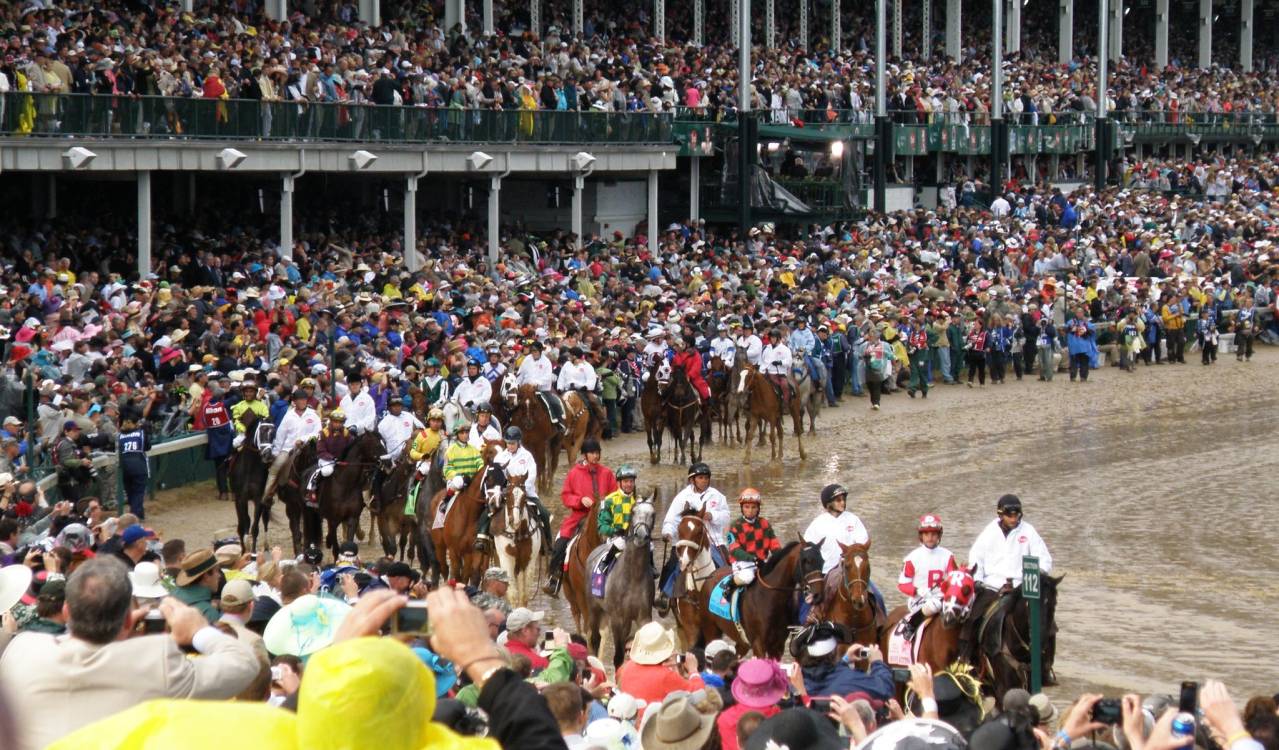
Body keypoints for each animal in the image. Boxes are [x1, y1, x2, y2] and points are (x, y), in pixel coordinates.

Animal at [427, 437, 501, 583]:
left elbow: (471, 574)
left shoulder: (474, 550)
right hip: (439, 545)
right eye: (489, 480)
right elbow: (456, 575)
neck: (469, 514)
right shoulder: (454, 550)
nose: (496, 503)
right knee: (444, 568)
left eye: (504, 481)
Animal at [700, 540, 828, 655]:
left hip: (741, 641)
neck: (769, 598)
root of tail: (711, 575)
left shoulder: (778, 645)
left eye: (822, 561)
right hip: (711, 630)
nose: (818, 595)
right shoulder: (758, 644)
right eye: (806, 561)